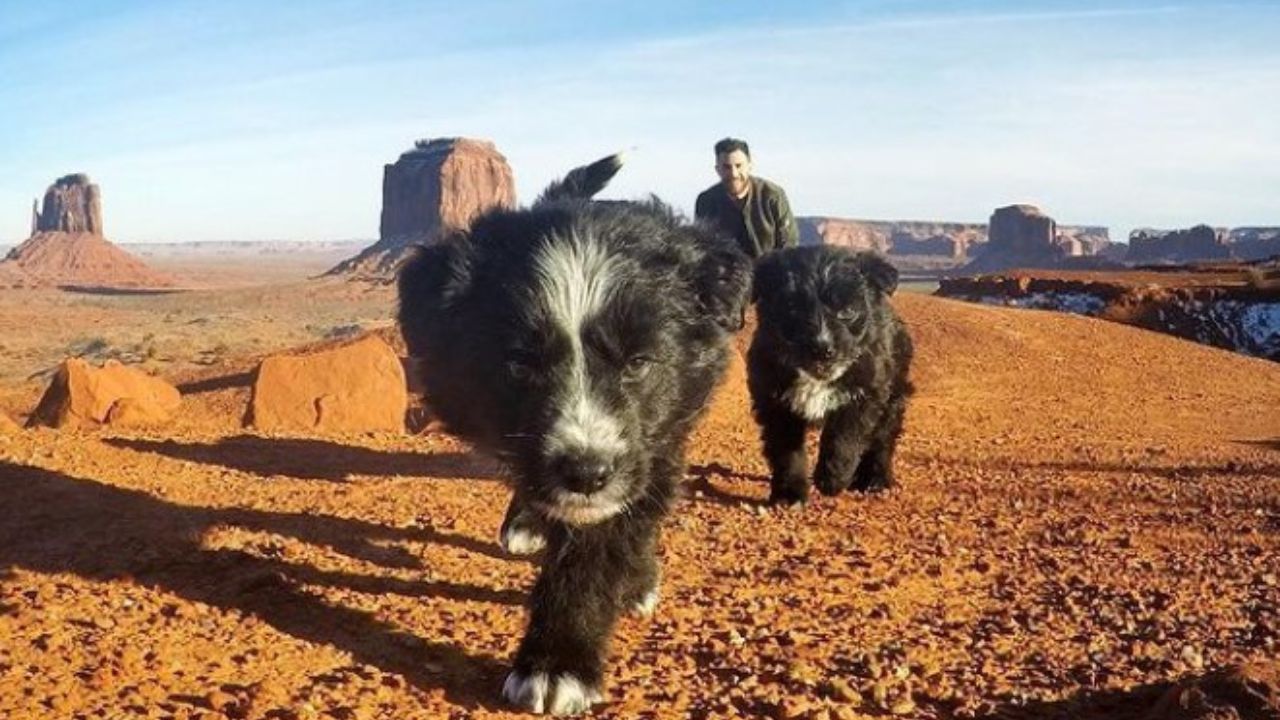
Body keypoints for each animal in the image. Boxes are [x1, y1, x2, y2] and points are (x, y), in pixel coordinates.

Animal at [394, 152, 747, 712]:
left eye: (639, 362)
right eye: (519, 364)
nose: (586, 474)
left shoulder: (658, 437)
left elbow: (601, 543)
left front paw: (558, 664)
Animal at [747, 245, 916, 504]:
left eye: (847, 311)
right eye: (792, 310)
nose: (822, 348)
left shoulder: (865, 394)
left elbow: (843, 438)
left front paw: (832, 479)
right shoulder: (774, 401)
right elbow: (786, 451)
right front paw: (789, 493)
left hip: (894, 396)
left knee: (883, 439)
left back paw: (875, 479)